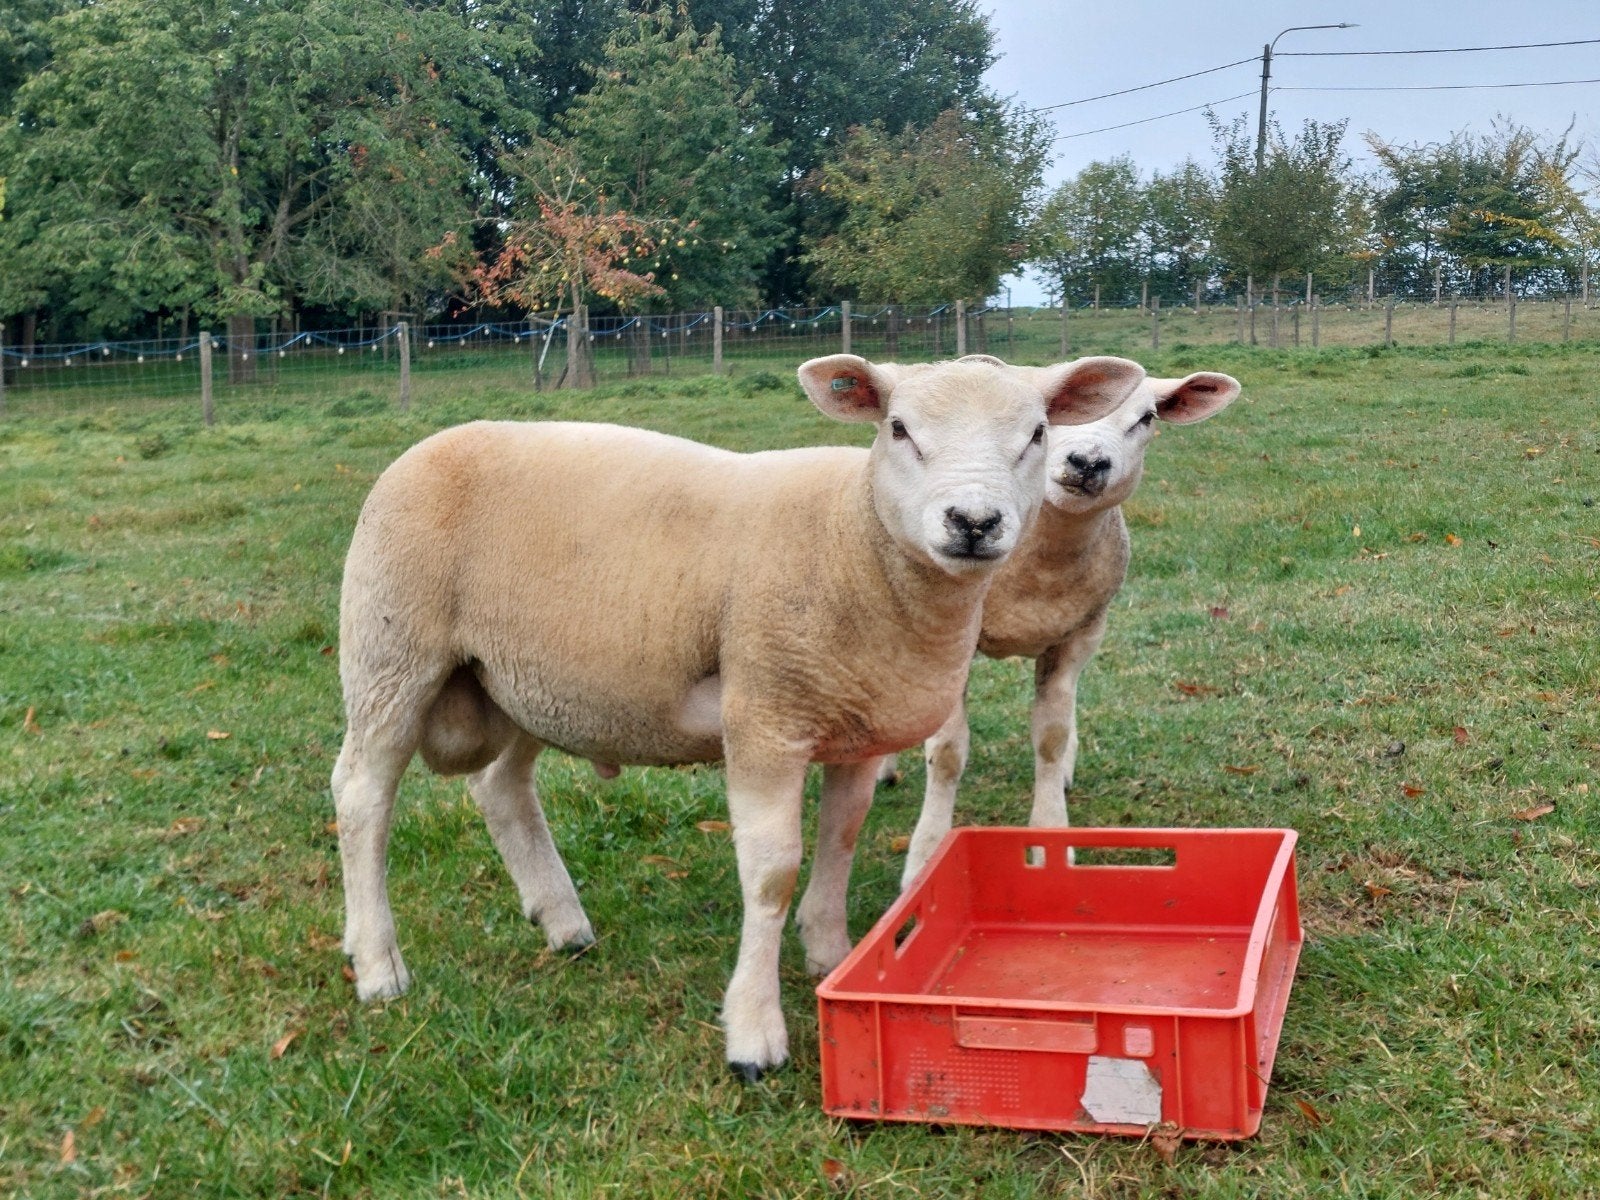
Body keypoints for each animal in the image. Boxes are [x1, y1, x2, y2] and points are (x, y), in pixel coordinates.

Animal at [330, 352, 1146, 1079]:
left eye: (1037, 433)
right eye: (899, 428)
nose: (973, 521)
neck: (856, 537)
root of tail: (440, 438)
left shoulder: (856, 722)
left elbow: (841, 837)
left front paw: (833, 955)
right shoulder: (764, 719)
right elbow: (771, 873)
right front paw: (754, 1033)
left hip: (525, 683)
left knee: (500, 786)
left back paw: (562, 922)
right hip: (391, 650)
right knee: (362, 796)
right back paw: (378, 964)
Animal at [885, 367, 1242, 887]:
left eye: (1147, 418)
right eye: (1045, 425)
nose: (1088, 461)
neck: (1040, 574)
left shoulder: (1075, 638)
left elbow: (1050, 741)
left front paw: (1052, 840)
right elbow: (947, 753)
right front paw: (925, 857)